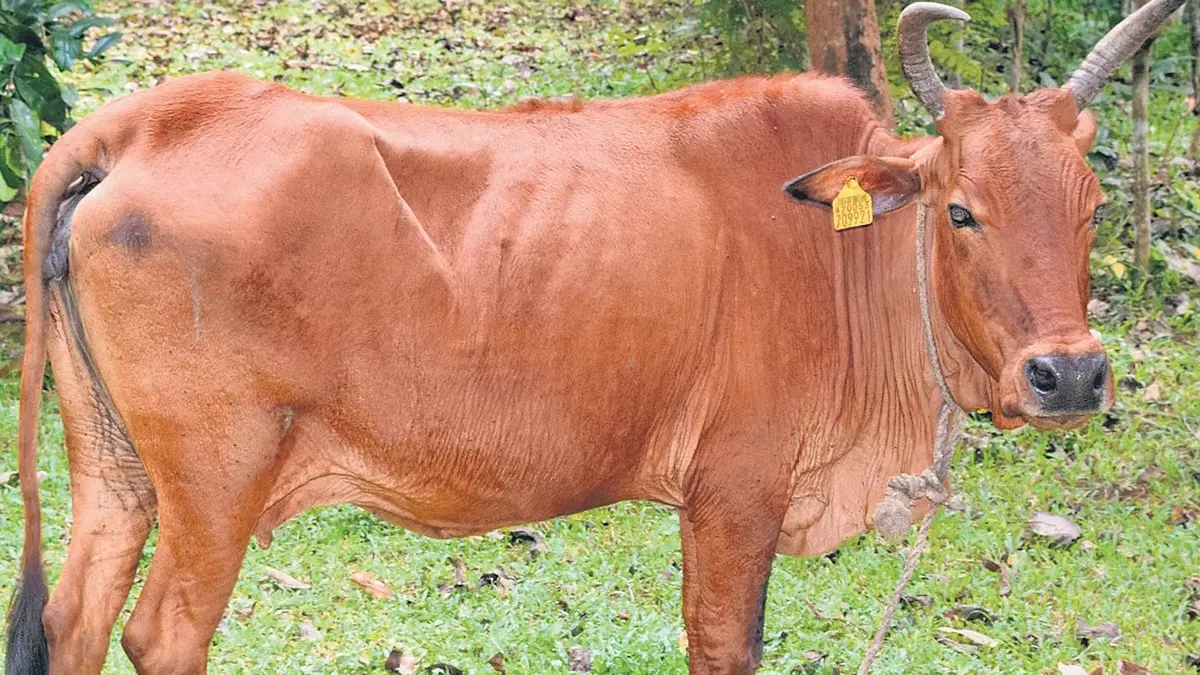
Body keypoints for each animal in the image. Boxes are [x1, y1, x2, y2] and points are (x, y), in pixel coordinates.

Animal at [5, 1, 1179, 673]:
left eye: (1090, 210)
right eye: (962, 211)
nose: (1070, 374)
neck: (844, 255)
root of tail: (140, 124)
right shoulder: (733, 491)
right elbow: (724, 644)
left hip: (115, 469)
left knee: (72, 623)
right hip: (218, 479)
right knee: (161, 636)